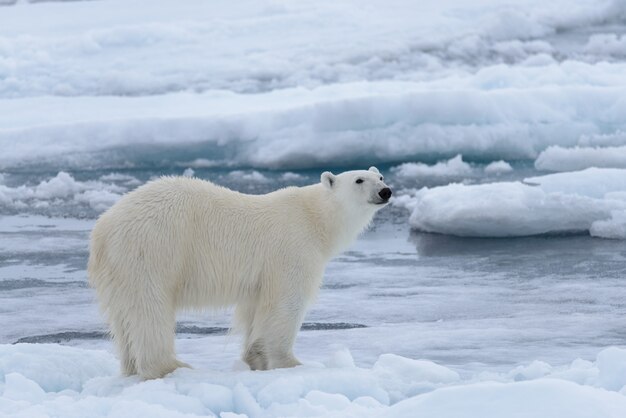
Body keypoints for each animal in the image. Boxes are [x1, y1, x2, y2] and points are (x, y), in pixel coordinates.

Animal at [88, 167, 390, 378]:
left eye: (380, 176)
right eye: (359, 180)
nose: (385, 191)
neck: (315, 218)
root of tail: (103, 228)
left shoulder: (259, 276)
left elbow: (254, 309)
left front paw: (255, 357)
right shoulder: (292, 250)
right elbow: (286, 303)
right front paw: (291, 363)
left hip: (119, 270)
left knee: (123, 318)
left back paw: (131, 366)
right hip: (153, 249)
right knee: (149, 308)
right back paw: (172, 366)